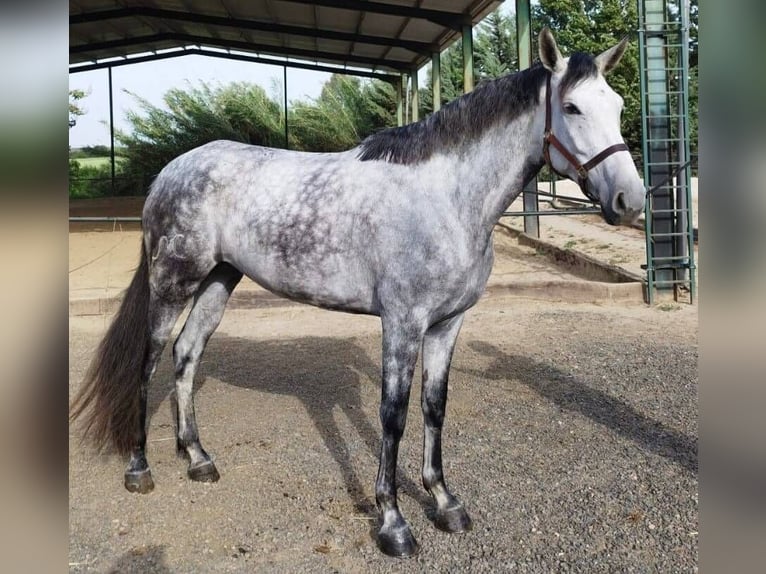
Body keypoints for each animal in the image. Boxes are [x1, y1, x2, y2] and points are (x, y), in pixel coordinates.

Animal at [70, 28, 645, 557]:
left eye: (617, 106)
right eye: (570, 107)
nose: (631, 200)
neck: (445, 198)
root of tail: (170, 172)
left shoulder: (447, 325)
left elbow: (434, 407)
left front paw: (445, 503)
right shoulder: (403, 322)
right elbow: (393, 415)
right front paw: (393, 524)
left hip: (219, 280)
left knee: (187, 356)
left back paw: (198, 459)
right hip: (173, 283)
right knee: (148, 362)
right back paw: (140, 468)